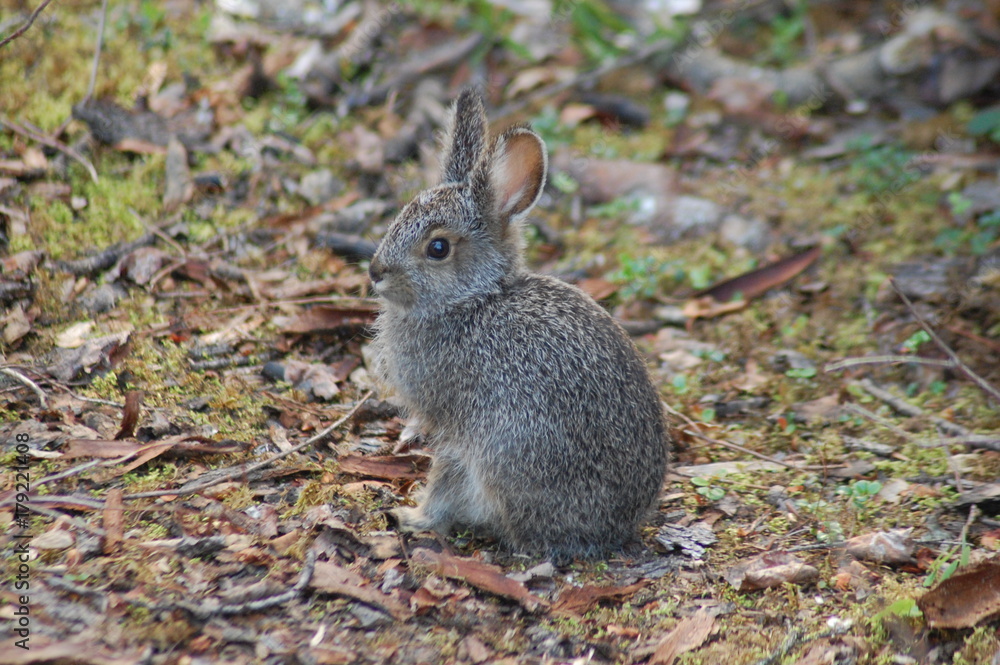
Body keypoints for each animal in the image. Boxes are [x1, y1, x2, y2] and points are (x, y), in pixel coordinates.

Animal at [367, 88, 669, 559]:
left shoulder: (457, 430)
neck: (474, 299)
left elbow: (445, 479)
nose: (376, 271)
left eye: (438, 248)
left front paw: (413, 517)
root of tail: (616, 532)